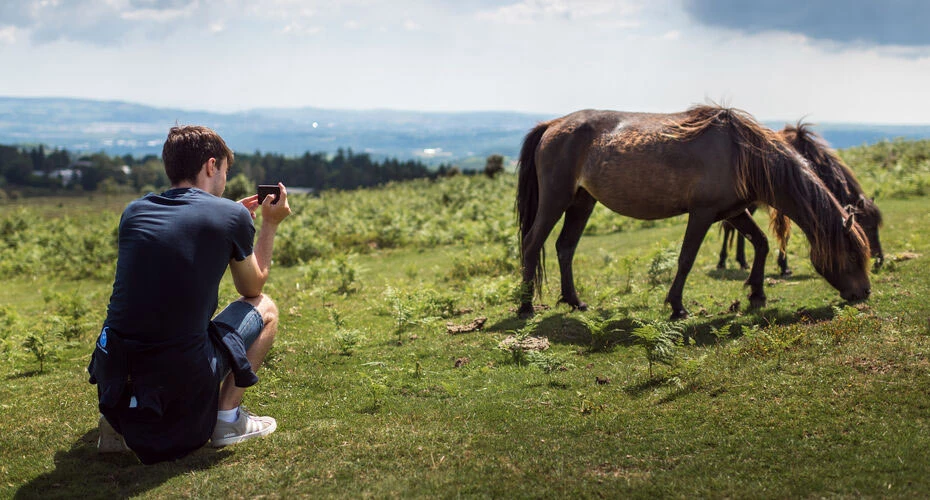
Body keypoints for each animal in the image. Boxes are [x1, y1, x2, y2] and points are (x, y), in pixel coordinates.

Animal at [716, 122, 885, 274]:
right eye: (867, 226)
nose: (879, 260)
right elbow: (785, 234)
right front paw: (784, 267)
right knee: (729, 227)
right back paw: (723, 261)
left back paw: (742, 262)